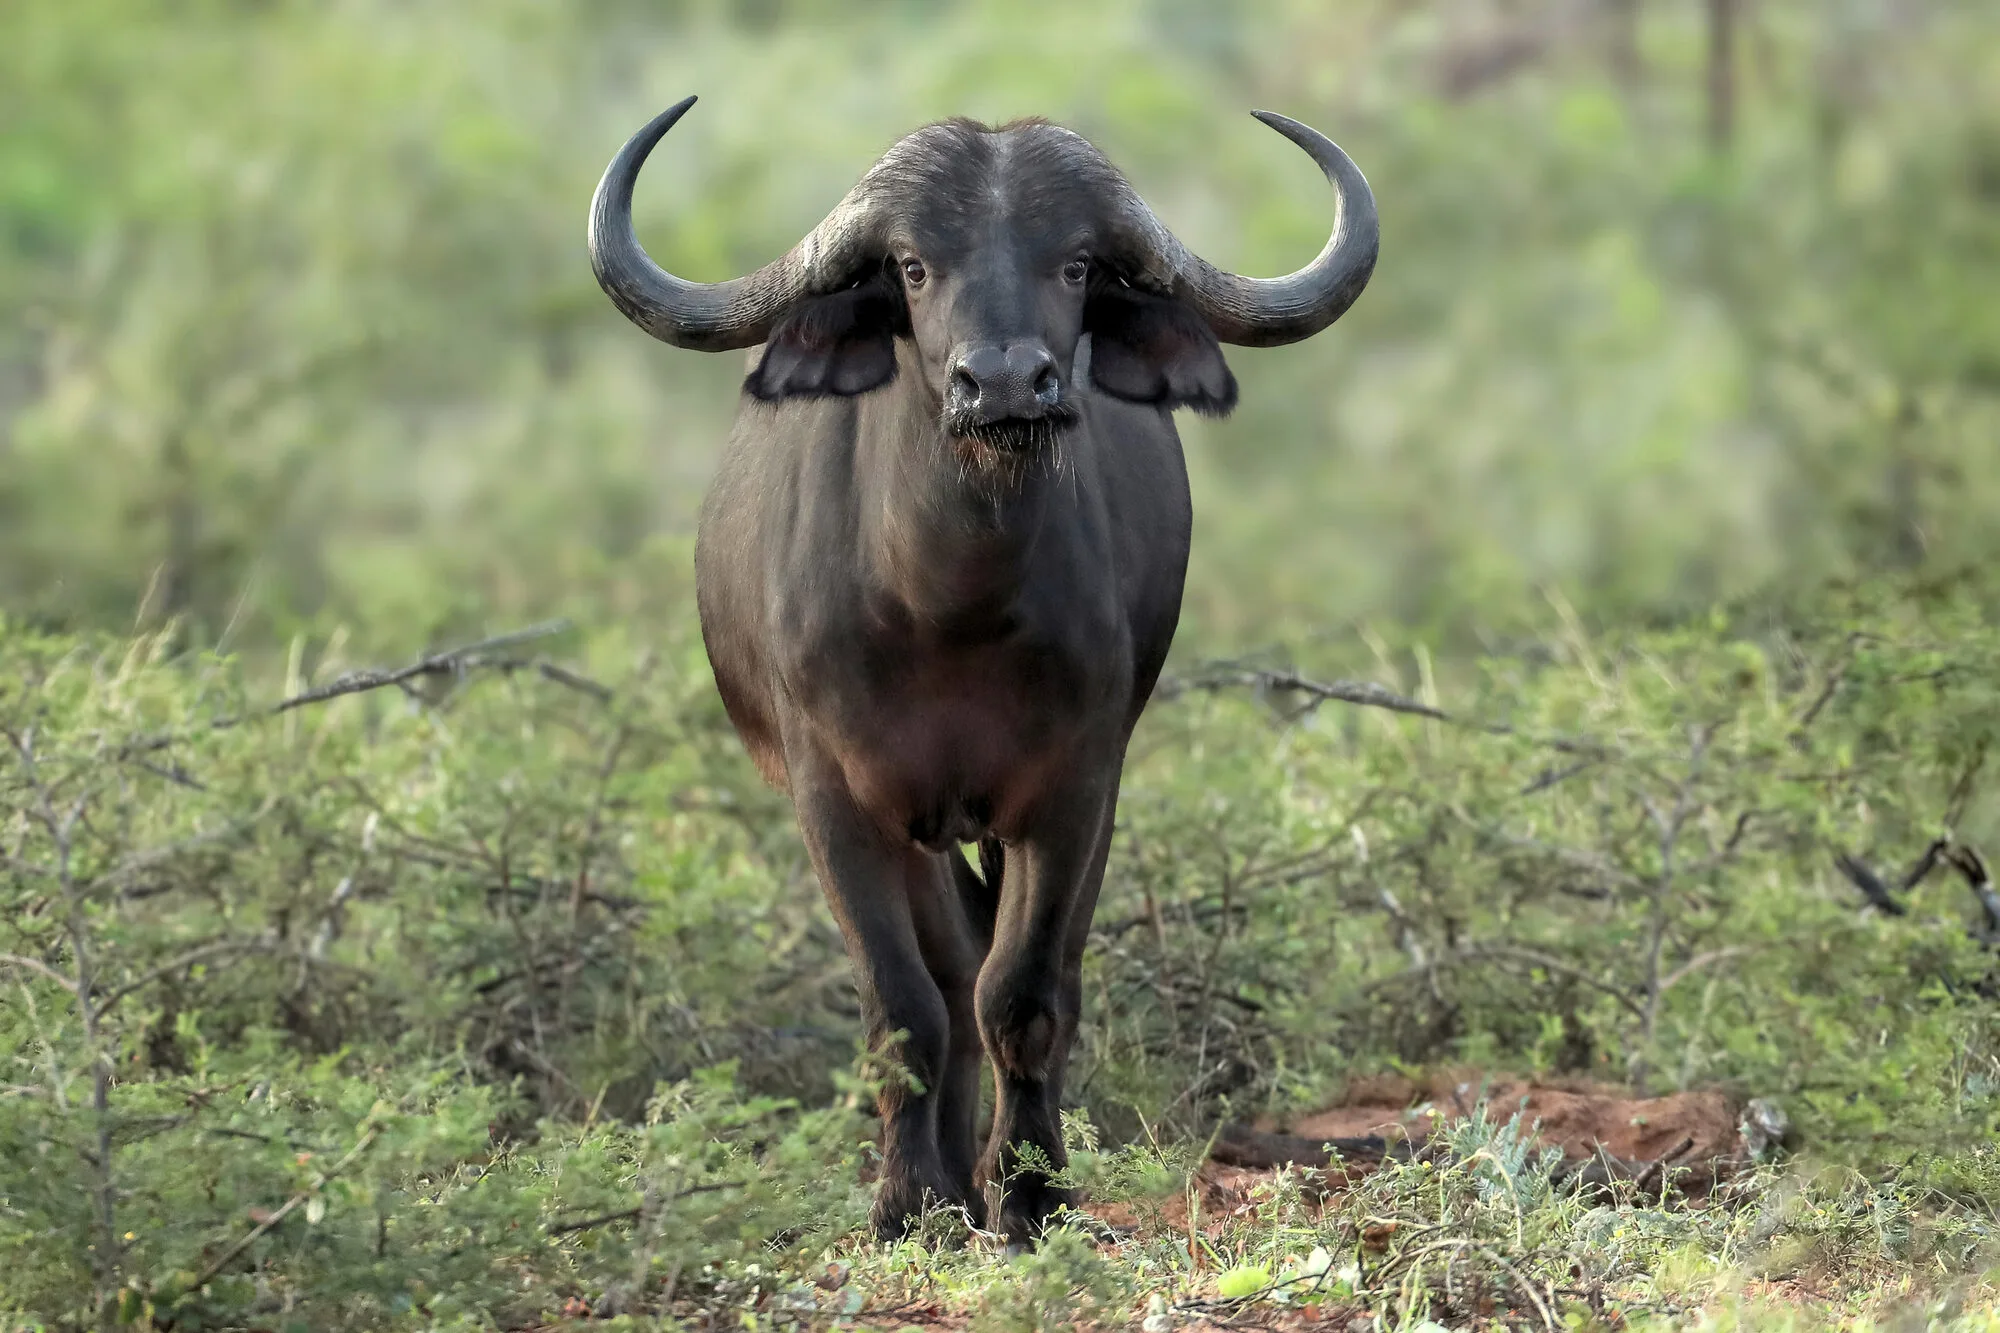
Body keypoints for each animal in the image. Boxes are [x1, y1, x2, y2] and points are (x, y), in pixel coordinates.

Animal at [587, 96, 1376, 1244]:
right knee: (945, 968)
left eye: (1078, 263)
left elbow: (1024, 993)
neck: (946, 605)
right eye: (915, 267)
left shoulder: (1072, 788)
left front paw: (1032, 1191)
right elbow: (902, 1004)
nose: (1003, 381)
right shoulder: (836, 799)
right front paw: (908, 1198)